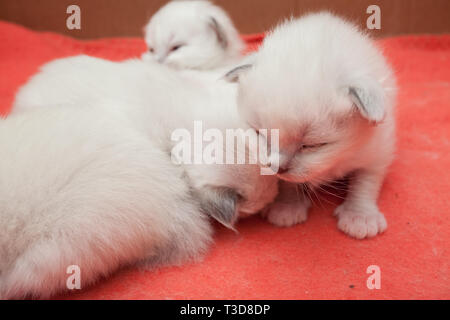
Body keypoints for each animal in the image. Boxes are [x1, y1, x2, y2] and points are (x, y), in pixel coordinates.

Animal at [227, 12, 396, 239]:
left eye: (312, 145)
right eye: (259, 133)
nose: (277, 167)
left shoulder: (378, 148)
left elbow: (366, 180)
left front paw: (359, 216)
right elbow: (287, 182)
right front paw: (287, 206)